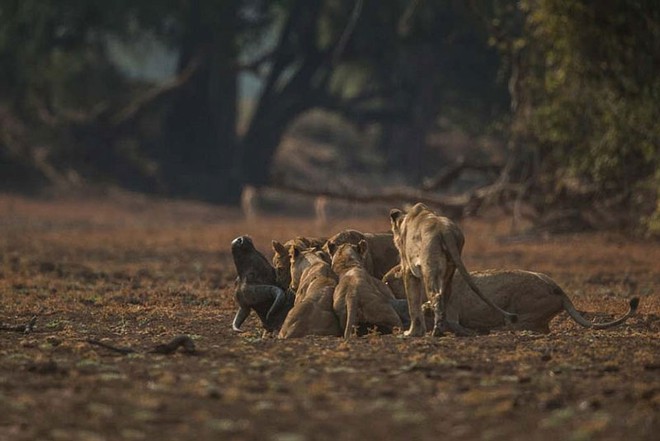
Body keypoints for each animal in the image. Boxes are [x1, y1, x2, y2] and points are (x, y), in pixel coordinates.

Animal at [382, 264, 640, 334]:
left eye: (397, 272)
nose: (383, 277)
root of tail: (559, 289)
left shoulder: (454, 315)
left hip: (520, 311)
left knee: (527, 327)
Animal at [390, 204, 520, 336]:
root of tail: (445, 230)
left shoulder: (408, 268)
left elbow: (413, 302)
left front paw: (412, 333)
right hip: (450, 267)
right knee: (445, 294)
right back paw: (441, 327)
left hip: (429, 267)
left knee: (436, 295)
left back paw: (437, 331)